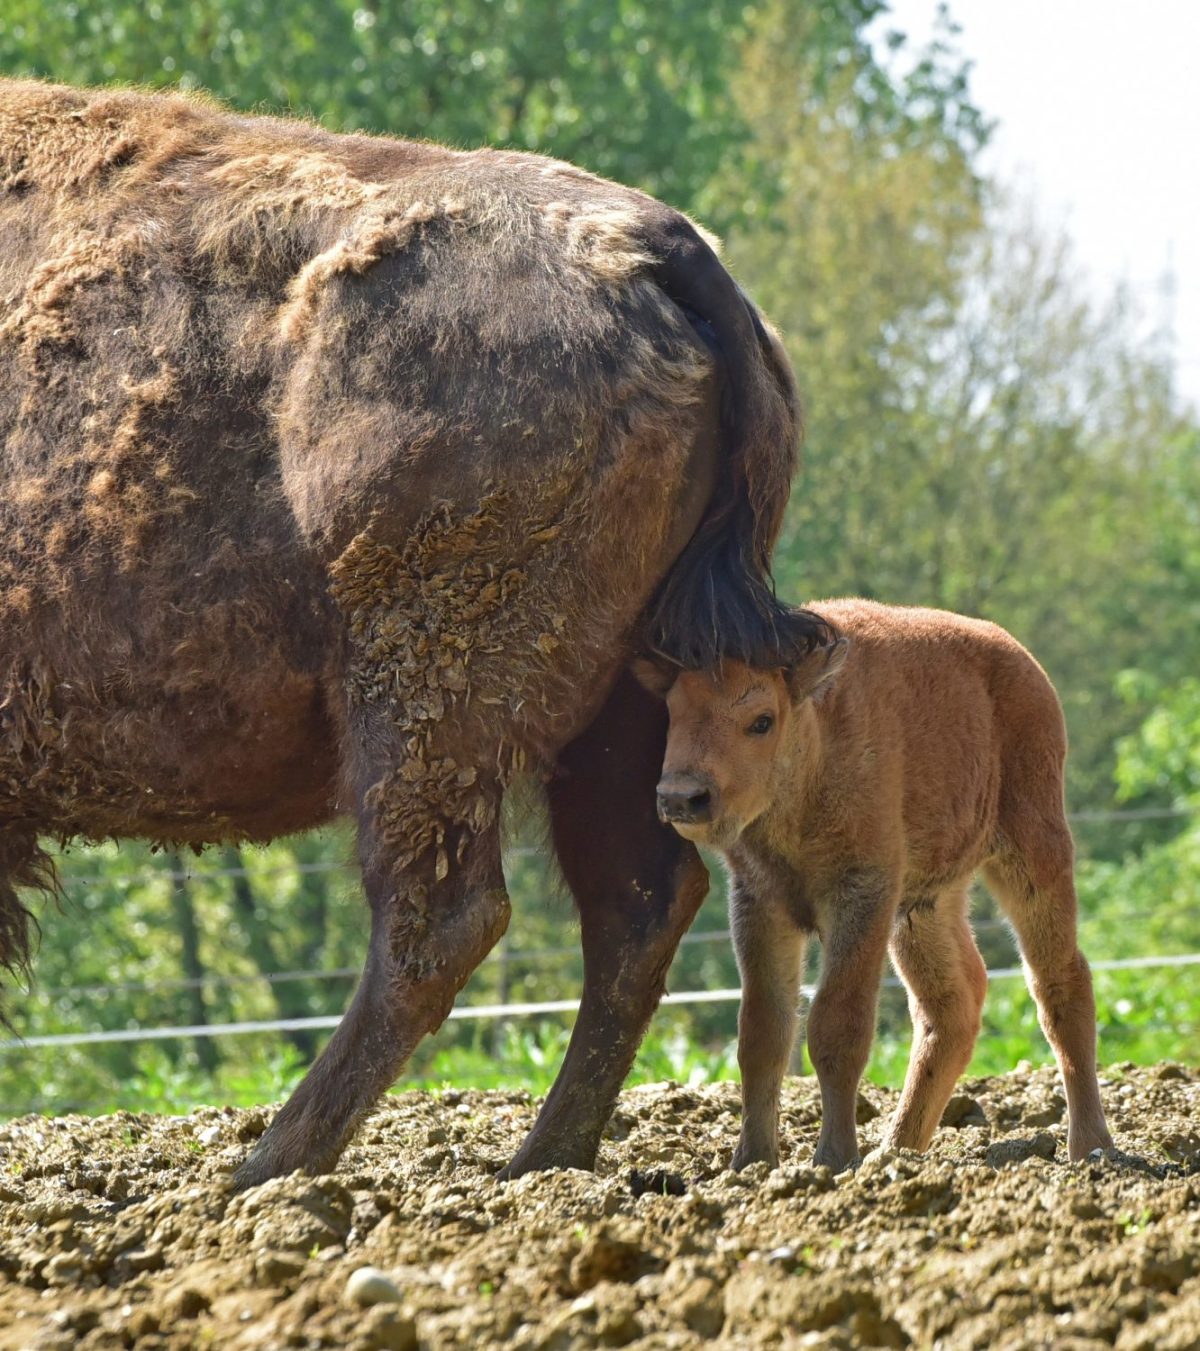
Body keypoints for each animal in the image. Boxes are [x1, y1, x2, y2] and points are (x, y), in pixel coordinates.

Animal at [0, 79, 816, 1188]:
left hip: (423, 691)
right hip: (625, 699)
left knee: (441, 917)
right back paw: (535, 1160)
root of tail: (662, 244)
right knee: (635, 897)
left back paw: (265, 1172)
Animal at [637, 602, 1113, 1172]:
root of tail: (1022, 662)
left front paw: (833, 1158)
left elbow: (836, 1026)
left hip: (1033, 850)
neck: (815, 742)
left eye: (761, 721)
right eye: (671, 712)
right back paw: (897, 1149)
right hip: (926, 904)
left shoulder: (860, 896)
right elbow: (762, 1032)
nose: (681, 797)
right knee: (952, 1004)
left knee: (1059, 982)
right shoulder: (760, 902)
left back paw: (1092, 1148)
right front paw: (750, 1162)